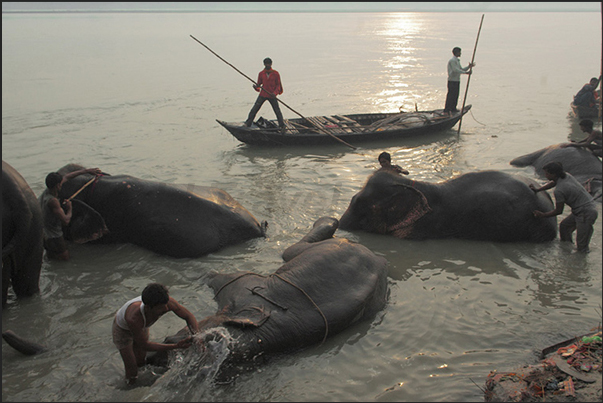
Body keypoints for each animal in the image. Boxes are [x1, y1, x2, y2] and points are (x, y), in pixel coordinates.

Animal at [149, 219, 390, 384]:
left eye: (181, 340)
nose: (153, 356)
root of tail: (379, 257)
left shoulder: (242, 288)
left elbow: (217, 276)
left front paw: (198, 272)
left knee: (290, 251)